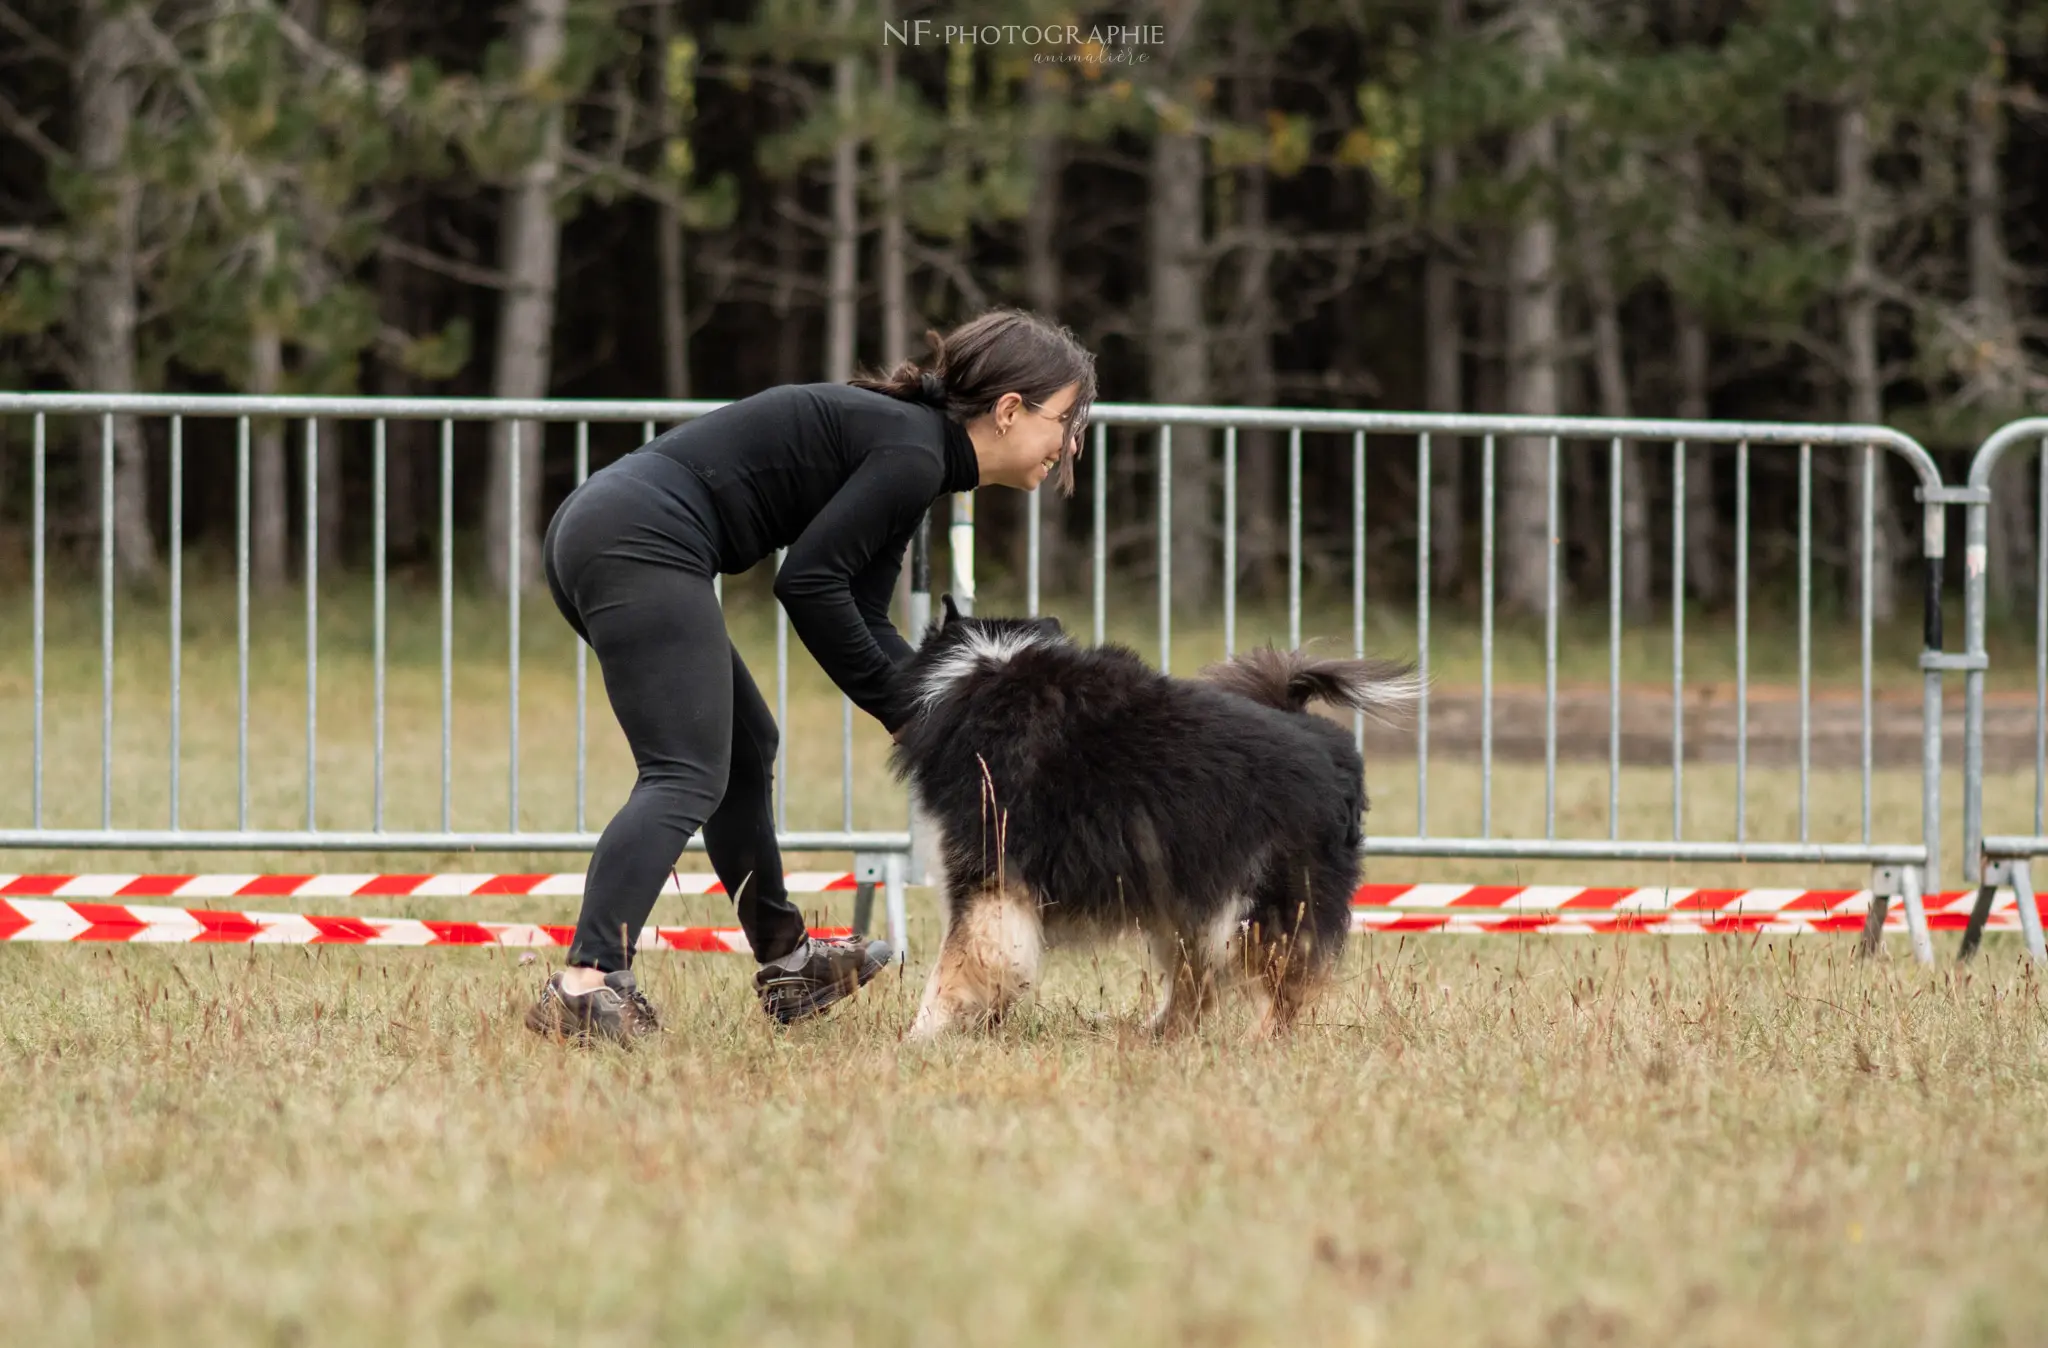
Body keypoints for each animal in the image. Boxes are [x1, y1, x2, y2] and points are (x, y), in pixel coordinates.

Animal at [888, 598, 1417, 1040]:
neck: (982, 667)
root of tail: (1331, 746)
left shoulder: (991, 872)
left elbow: (961, 961)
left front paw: (922, 1035)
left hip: (1262, 899)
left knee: (1277, 982)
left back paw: (1258, 1041)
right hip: (1192, 893)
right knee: (1201, 979)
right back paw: (1158, 1032)